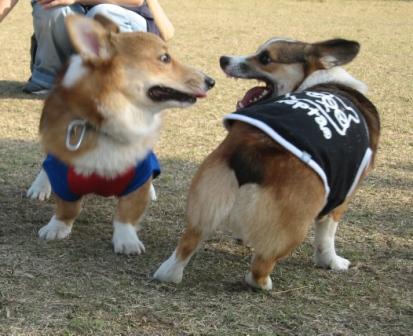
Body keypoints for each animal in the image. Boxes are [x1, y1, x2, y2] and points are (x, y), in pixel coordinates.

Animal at [26, 13, 212, 255]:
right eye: (165, 58)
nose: (211, 81)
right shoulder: (64, 173)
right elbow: (68, 206)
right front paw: (57, 227)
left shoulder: (138, 176)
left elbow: (127, 213)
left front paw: (127, 240)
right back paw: (40, 186)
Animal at [154, 36, 380, 288]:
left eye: (265, 58)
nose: (224, 59)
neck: (315, 80)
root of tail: (251, 149)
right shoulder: (340, 199)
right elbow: (326, 237)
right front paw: (332, 262)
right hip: (294, 227)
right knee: (259, 267)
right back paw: (264, 284)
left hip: (203, 208)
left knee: (183, 249)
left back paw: (170, 272)